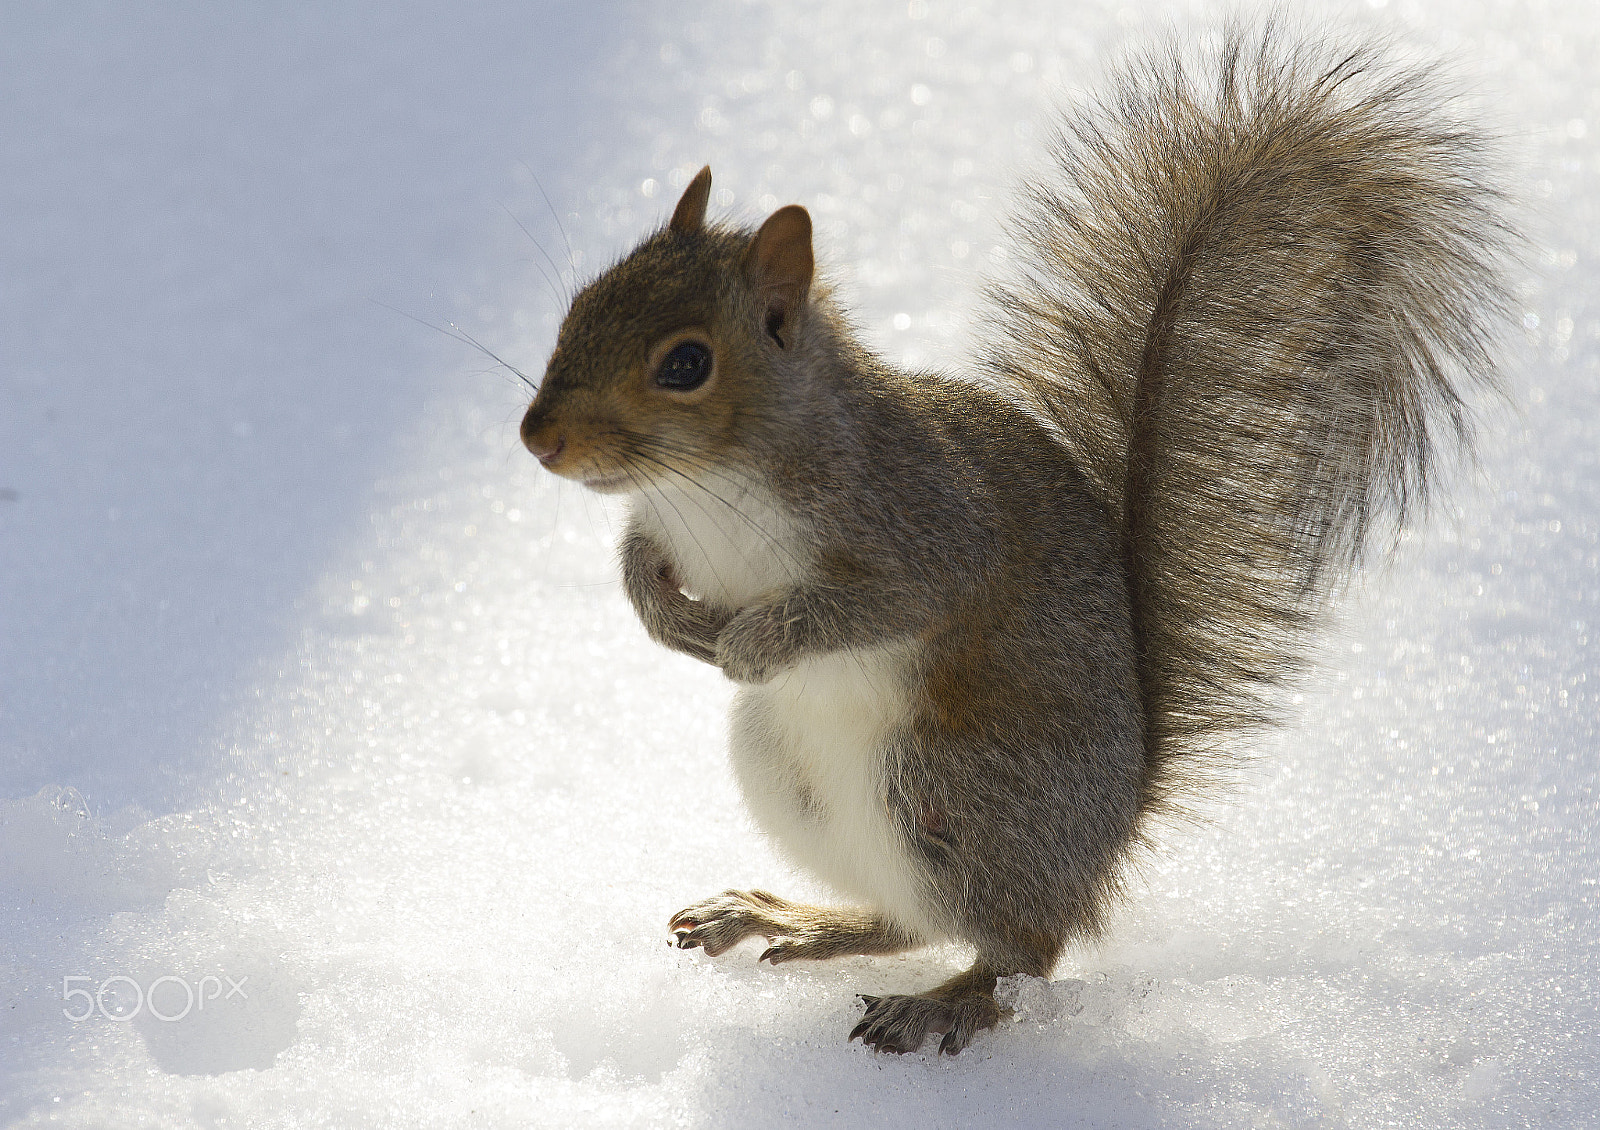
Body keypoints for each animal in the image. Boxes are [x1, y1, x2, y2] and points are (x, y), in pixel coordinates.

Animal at [518, 22, 1508, 1055]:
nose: (537, 440)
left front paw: (756, 640)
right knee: (910, 920)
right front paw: (667, 619)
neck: (705, 485)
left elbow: (886, 600)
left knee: (1020, 955)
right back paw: (791, 919)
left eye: (685, 364)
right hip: (790, 775)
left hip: (951, 789)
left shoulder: (923, 521)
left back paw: (943, 1002)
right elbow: (639, 564)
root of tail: (1107, 839)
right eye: (581, 303)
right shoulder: (661, 522)